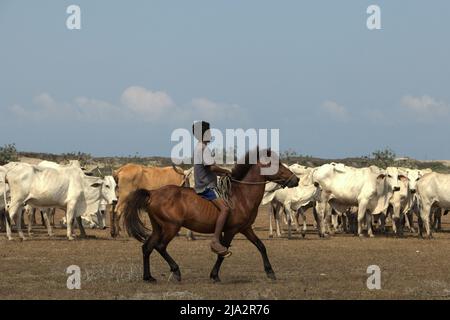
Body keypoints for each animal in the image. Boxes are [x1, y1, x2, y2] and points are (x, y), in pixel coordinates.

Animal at [123, 150, 298, 282]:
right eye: (276, 164)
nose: (296, 179)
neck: (242, 195)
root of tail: (152, 193)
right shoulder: (231, 230)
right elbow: (222, 253)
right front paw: (214, 275)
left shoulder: (246, 228)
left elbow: (261, 246)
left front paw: (270, 272)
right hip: (171, 227)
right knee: (160, 247)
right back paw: (176, 271)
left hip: (158, 227)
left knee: (147, 247)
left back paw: (148, 277)